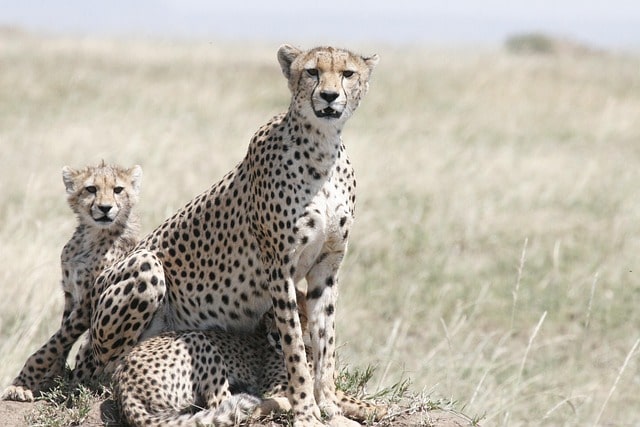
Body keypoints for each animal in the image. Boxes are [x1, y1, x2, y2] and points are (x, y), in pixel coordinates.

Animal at [1, 161, 142, 402]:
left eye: (118, 190)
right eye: (91, 189)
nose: (105, 208)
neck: (93, 235)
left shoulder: (88, 302)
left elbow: (53, 343)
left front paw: (21, 384)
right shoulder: (71, 293)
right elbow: (60, 338)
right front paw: (52, 378)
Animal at [86, 44, 378, 426]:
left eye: (347, 73)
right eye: (312, 72)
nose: (329, 96)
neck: (322, 147)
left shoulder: (327, 267)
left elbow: (324, 341)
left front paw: (330, 404)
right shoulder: (279, 268)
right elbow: (295, 347)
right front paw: (305, 410)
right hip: (145, 268)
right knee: (109, 370)